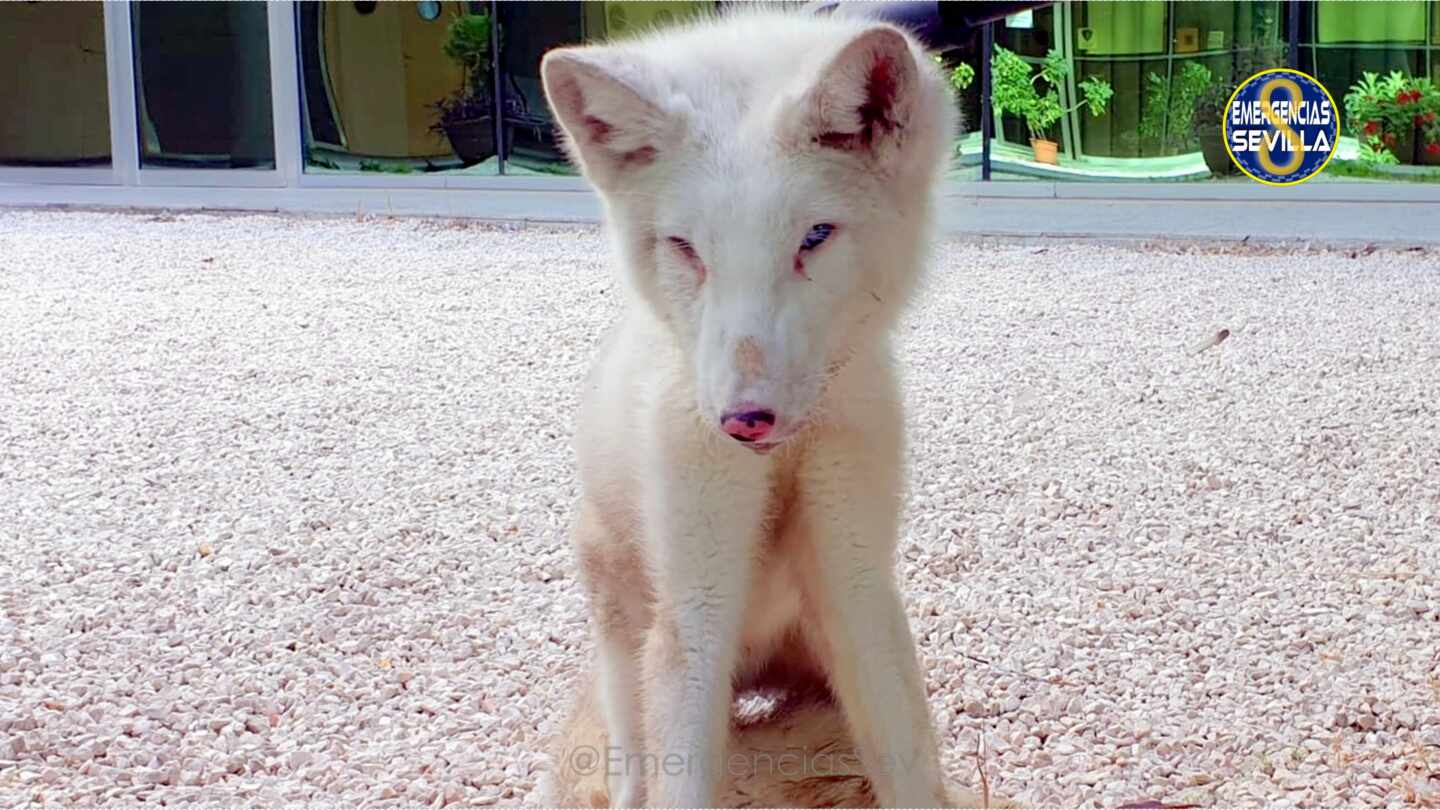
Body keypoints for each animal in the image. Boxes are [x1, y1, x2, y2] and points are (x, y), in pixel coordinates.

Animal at [541, 9, 956, 801]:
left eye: (814, 237)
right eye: (684, 248)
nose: (743, 419)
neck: (783, 463)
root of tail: (756, 661)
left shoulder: (856, 576)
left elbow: (911, 768)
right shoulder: (695, 607)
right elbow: (678, 782)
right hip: (623, 620)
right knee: (633, 766)